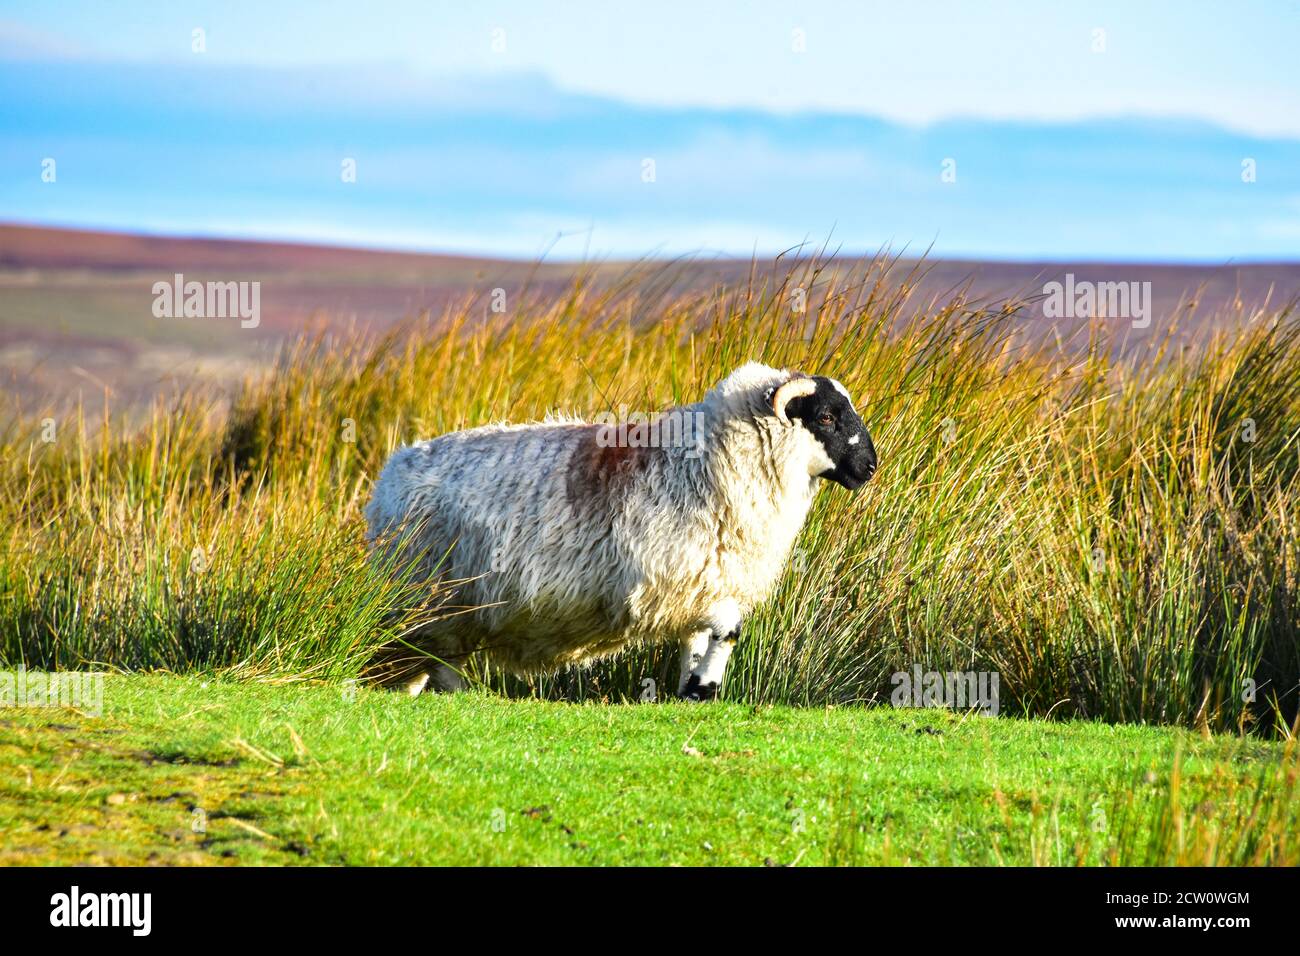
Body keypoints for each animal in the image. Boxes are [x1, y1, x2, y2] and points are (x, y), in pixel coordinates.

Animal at [361, 361, 878, 697]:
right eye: (826, 417)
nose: (870, 467)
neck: (709, 461)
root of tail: (389, 475)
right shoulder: (678, 574)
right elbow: (729, 629)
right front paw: (707, 686)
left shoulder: (701, 582)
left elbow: (697, 639)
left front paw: (691, 687)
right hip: (428, 592)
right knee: (428, 654)